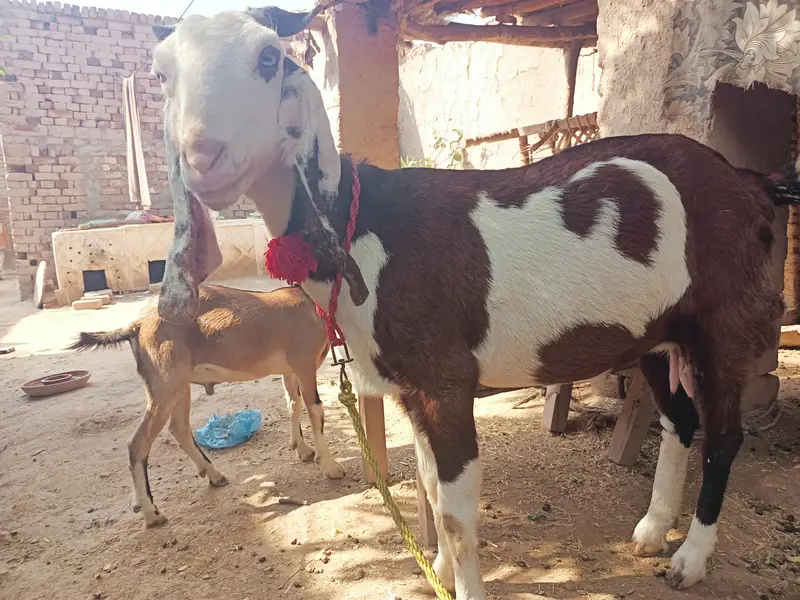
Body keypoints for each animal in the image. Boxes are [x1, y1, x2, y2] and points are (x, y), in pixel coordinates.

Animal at [69, 284, 346, 528]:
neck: (308, 301)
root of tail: (137, 325)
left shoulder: (289, 371)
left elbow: (293, 403)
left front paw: (303, 450)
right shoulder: (304, 363)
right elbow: (315, 408)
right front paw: (331, 467)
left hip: (179, 385)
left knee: (178, 427)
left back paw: (212, 476)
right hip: (165, 384)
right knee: (138, 443)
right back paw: (152, 513)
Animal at [150, 9, 794, 597]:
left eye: (268, 57)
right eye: (162, 73)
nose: (204, 157)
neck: (364, 226)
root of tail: (748, 180)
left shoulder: (446, 381)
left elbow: (457, 515)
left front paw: (458, 580)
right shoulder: (410, 390)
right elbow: (430, 487)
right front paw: (434, 569)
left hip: (722, 323)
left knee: (724, 435)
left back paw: (690, 558)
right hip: (657, 334)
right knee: (679, 420)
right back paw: (653, 530)